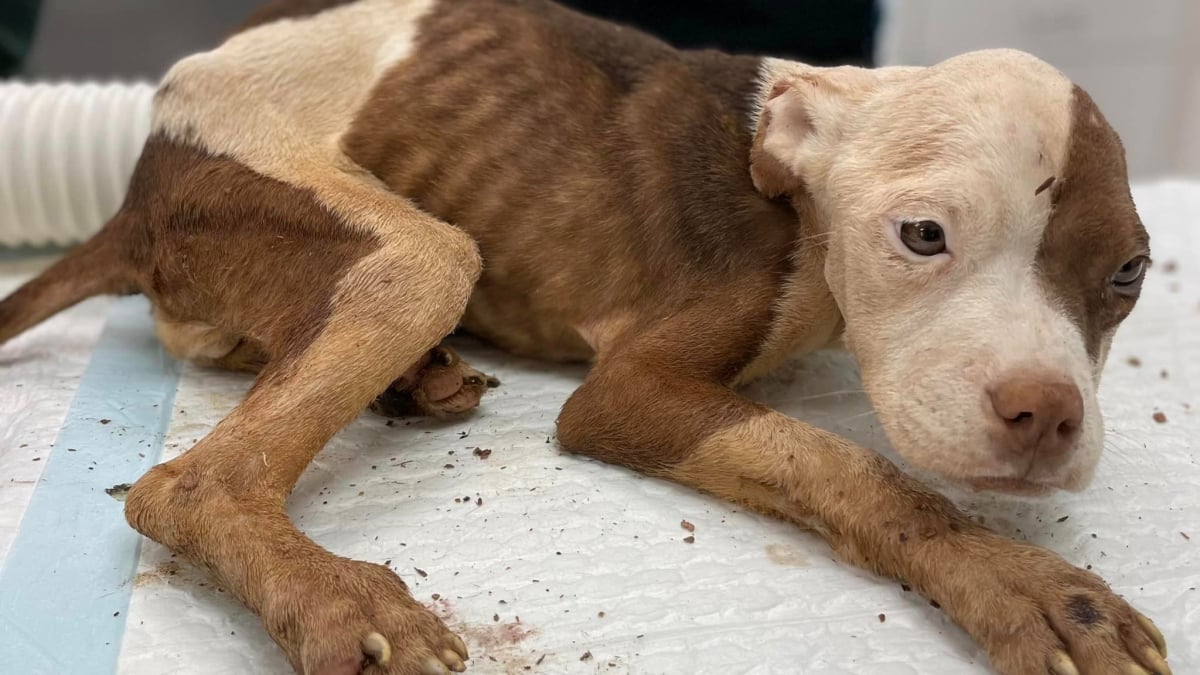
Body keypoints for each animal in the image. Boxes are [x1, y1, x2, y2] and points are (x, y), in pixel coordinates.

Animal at [0, 1, 1166, 672]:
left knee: (216, 339)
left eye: (1129, 273)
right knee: (188, 483)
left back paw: (414, 380)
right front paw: (1028, 587)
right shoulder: (632, 390)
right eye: (923, 235)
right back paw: (335, 595)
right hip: (413, 252)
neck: (800, 183)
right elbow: (861, 470)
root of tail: (139, 180)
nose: (1046, 415)